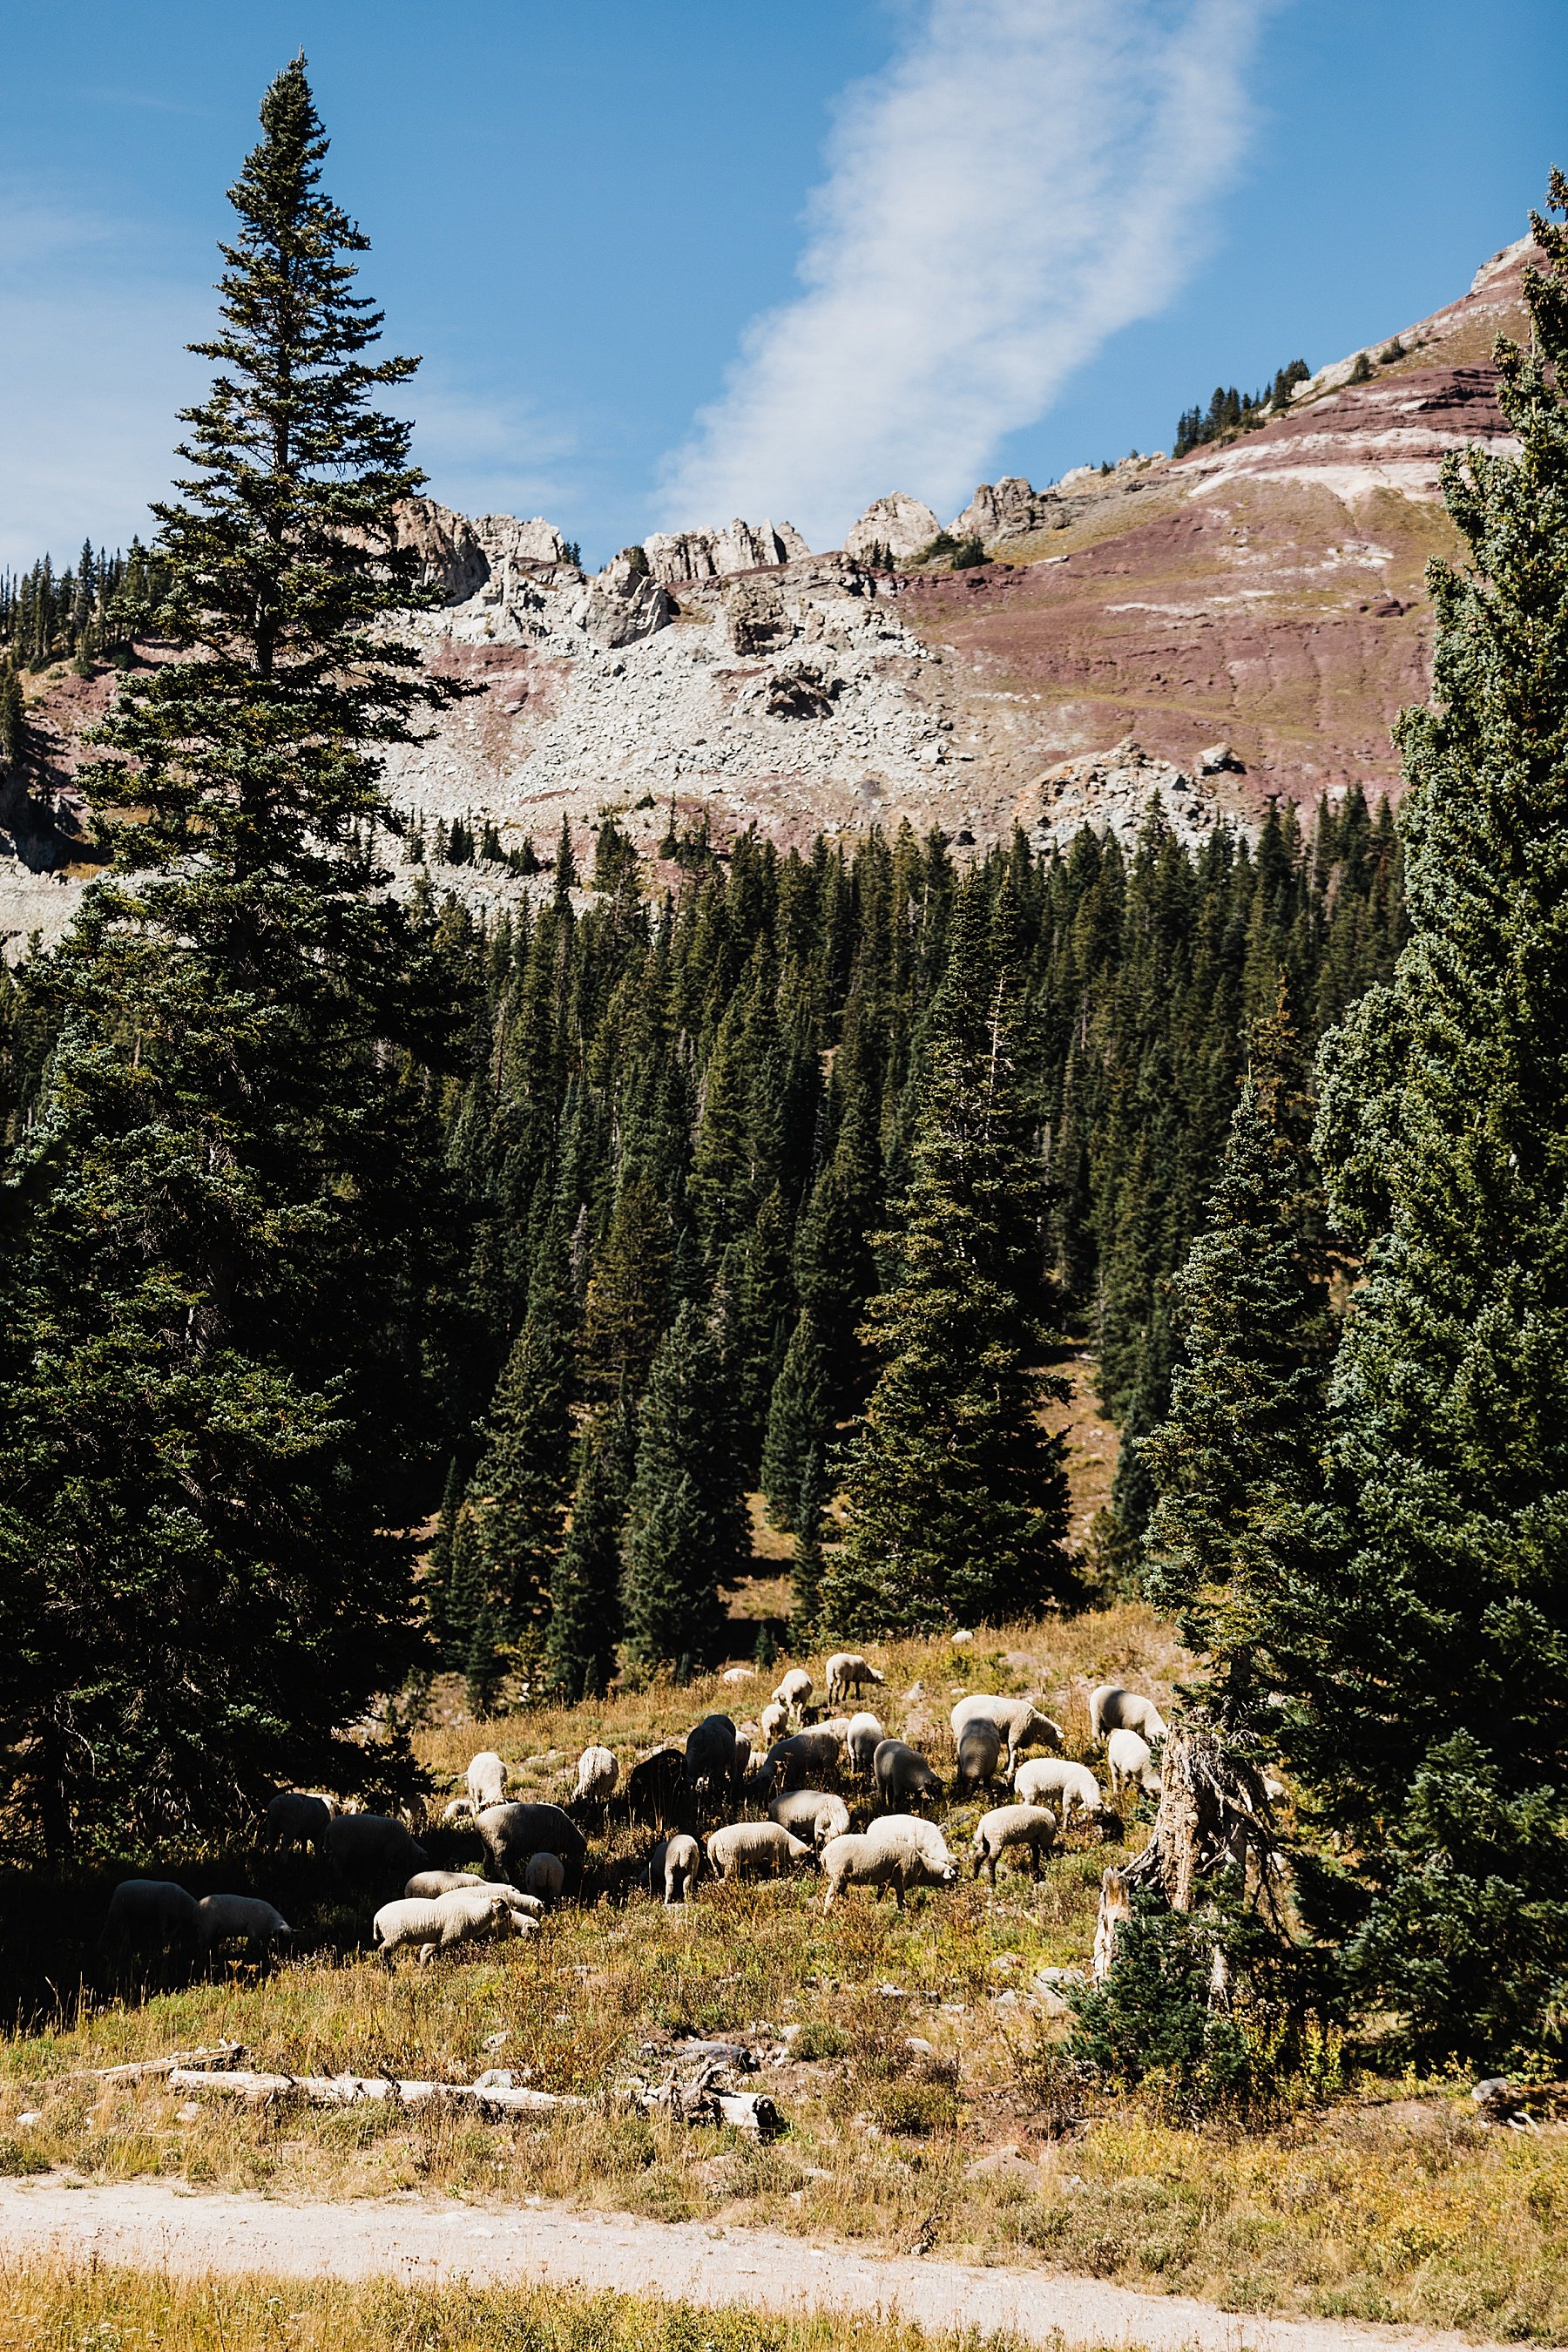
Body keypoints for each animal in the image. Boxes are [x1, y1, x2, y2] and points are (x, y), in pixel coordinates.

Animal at [705, 1815, 818, 1890]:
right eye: (808, 1859)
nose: (814, 1872)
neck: (788, 1847)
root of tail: (713, 1843)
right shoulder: (770, 1856)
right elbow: (767, 1871)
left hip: (715, 1863)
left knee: (719, 1876)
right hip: (729, 1861)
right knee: (726, 1878)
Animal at [822, 1825, 959, 1919]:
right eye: (952, 1876)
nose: (955, 1891)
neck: (922, 1867)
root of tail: (824, 1854)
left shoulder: (884, 1881)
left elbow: (879, 1896)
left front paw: (875, 1906)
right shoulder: (901, 1880)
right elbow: (901, 1899)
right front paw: (902, 1914)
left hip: (841, 1878)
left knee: (839, 1893)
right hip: (838, 1875)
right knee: (830, 1896)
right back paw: (826, 1915)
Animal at [944, 1693, 1067, 1768]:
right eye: (1056, 1736)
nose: (1061, 1750)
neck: (1036, 1725)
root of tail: (954, 1713)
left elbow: (1010, 1751)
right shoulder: (1016, 1732)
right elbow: (1013, 1752)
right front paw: (1009, 1770)